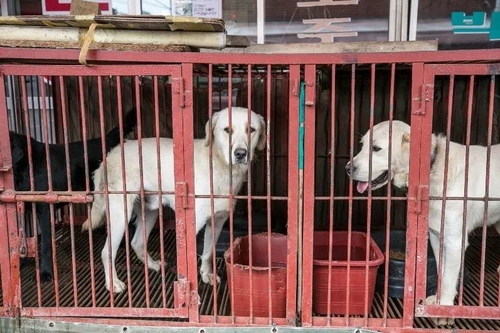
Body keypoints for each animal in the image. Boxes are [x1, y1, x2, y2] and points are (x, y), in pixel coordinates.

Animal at [83, 107, 266, 292]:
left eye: (251, 130)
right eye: (227, 130)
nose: (240, 154)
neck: (219, 167)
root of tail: (109, 155)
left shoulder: (218, 221)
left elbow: (208, 253)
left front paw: (206, 274)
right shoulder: (191, 224)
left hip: (150, 211)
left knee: (137, 242)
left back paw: (153, 265)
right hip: (121, 214)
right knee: (107, 252)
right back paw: (112, 283)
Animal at [346, 119, 500, 324]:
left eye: (376, 148)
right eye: (362, 145)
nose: (347, 168)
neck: (432, 169)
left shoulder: (454, 241)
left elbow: (449, 277)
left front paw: (445, 308)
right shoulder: (436, 236)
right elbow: (441, 272)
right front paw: (437, 301)